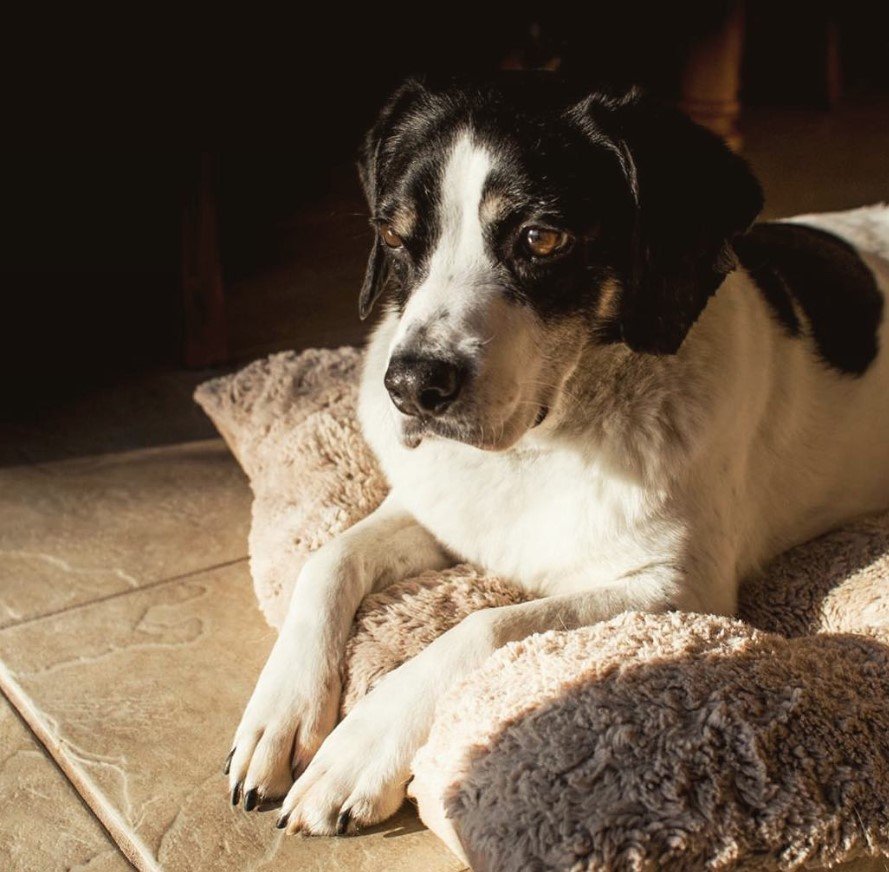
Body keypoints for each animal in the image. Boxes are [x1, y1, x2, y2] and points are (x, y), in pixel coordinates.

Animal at [227, 71, 888, 836]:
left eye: (541, 238)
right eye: (392, 235)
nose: (412, 387)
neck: (548, 443)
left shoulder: (676, 588)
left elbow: (484, 626)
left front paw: (359, 747)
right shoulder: (436, 509)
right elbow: (327, 560)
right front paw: (279, 715)